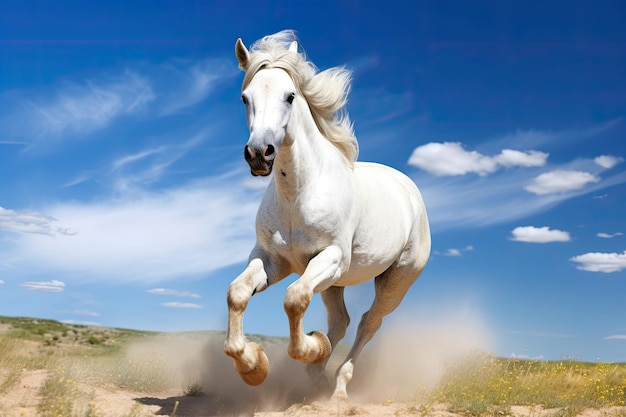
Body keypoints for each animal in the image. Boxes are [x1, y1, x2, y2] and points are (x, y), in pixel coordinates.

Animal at [224, 30, 428, 402]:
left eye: (290, 96)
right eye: (245, 98)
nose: (259, 153)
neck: (298, 195)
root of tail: (407, 187)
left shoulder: (332, 257)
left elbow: (294, 300)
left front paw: (310, 347)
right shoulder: (273, 260)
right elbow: (238, 292)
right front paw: (253, 366)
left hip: (393, 280)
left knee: (367, 323)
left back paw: (339, 388)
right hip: (334, 283)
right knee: (341, 321)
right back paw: (317, 373)